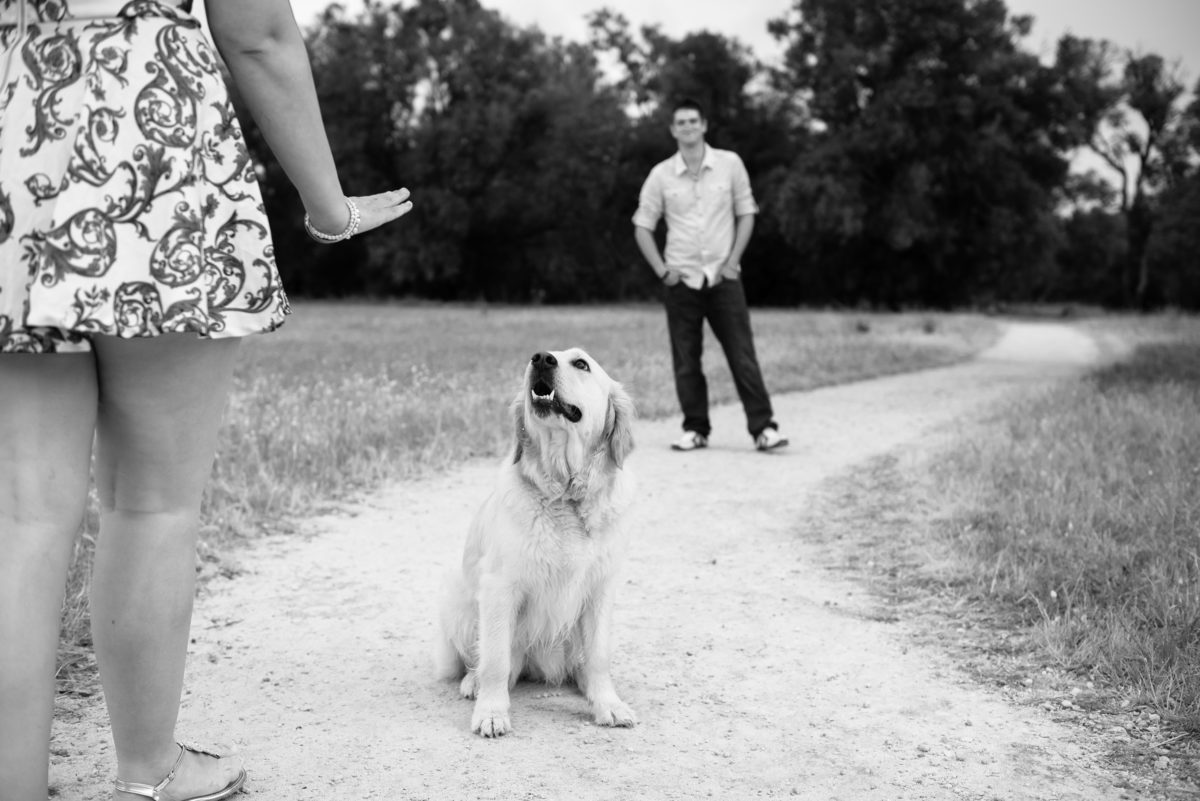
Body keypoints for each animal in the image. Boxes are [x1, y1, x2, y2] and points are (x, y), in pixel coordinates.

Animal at [432, 347, 638, 733]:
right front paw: (491, 711)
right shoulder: (499, 587)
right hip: (457, 600)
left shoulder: (601, 588)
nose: (541, 359)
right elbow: (496, 660)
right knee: (484, 661)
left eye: (581, 364)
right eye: (544, 356)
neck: (564, 493)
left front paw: (607, 703)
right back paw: (473, 682)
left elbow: (598, 656)